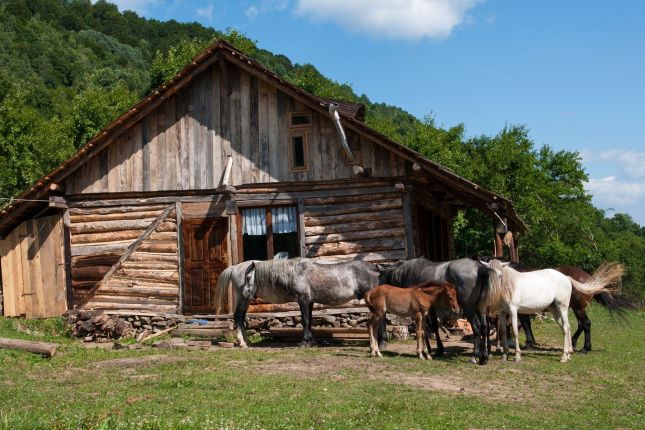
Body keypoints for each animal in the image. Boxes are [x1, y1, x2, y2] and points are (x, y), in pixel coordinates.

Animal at [214, 258, 380, 346]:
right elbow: (305, 320)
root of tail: (234, 267)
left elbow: (308, 320)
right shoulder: (303, 300)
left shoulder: (308, 301)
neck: (294, 273)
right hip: (243, 300)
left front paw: (310, 341)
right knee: (238, 317)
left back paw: (245, 342)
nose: (246, 292)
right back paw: (243, 343)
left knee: (240, 317)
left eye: (249, 277)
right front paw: (306, 342)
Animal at [486, 258, 620, 362]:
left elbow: (516, 331)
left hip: (565, 308)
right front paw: (505, 356)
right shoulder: (502, 313)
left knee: (569, 326)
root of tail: (566, 278)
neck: (509, 284)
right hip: (555, 310)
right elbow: (503, 332)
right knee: (568, 327)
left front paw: (517, 356)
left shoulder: (514, 311)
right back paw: (569, 353)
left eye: (500, 275)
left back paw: (566, 356)